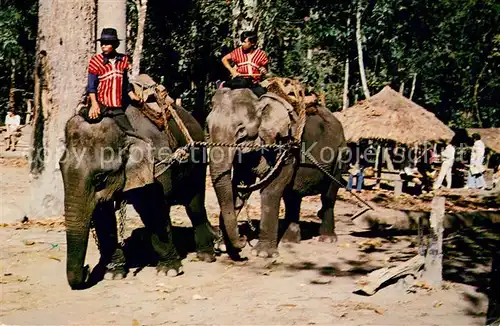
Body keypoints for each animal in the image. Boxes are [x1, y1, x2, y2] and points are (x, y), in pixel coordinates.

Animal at [58, 103, 215, 290]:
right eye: (60, 168)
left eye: (99, 178)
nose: (87, 269)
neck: (124, 130)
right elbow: (104, 216)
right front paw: (113, 274)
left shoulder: (156, 164)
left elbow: (153, 210)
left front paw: (169, 271)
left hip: (199, 159)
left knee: (195, 204)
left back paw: (206, 256)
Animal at [206, 88, 344, 258]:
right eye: (207, 126)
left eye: (241, 130)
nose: (243, 239)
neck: (260, 101)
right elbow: (238, 186)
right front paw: (224, 246)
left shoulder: (286, 146)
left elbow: (271, 189)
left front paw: (262, 254)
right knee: (292, 197)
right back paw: (289, 241)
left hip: (340, 154)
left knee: (328, 195)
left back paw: (326, 239)